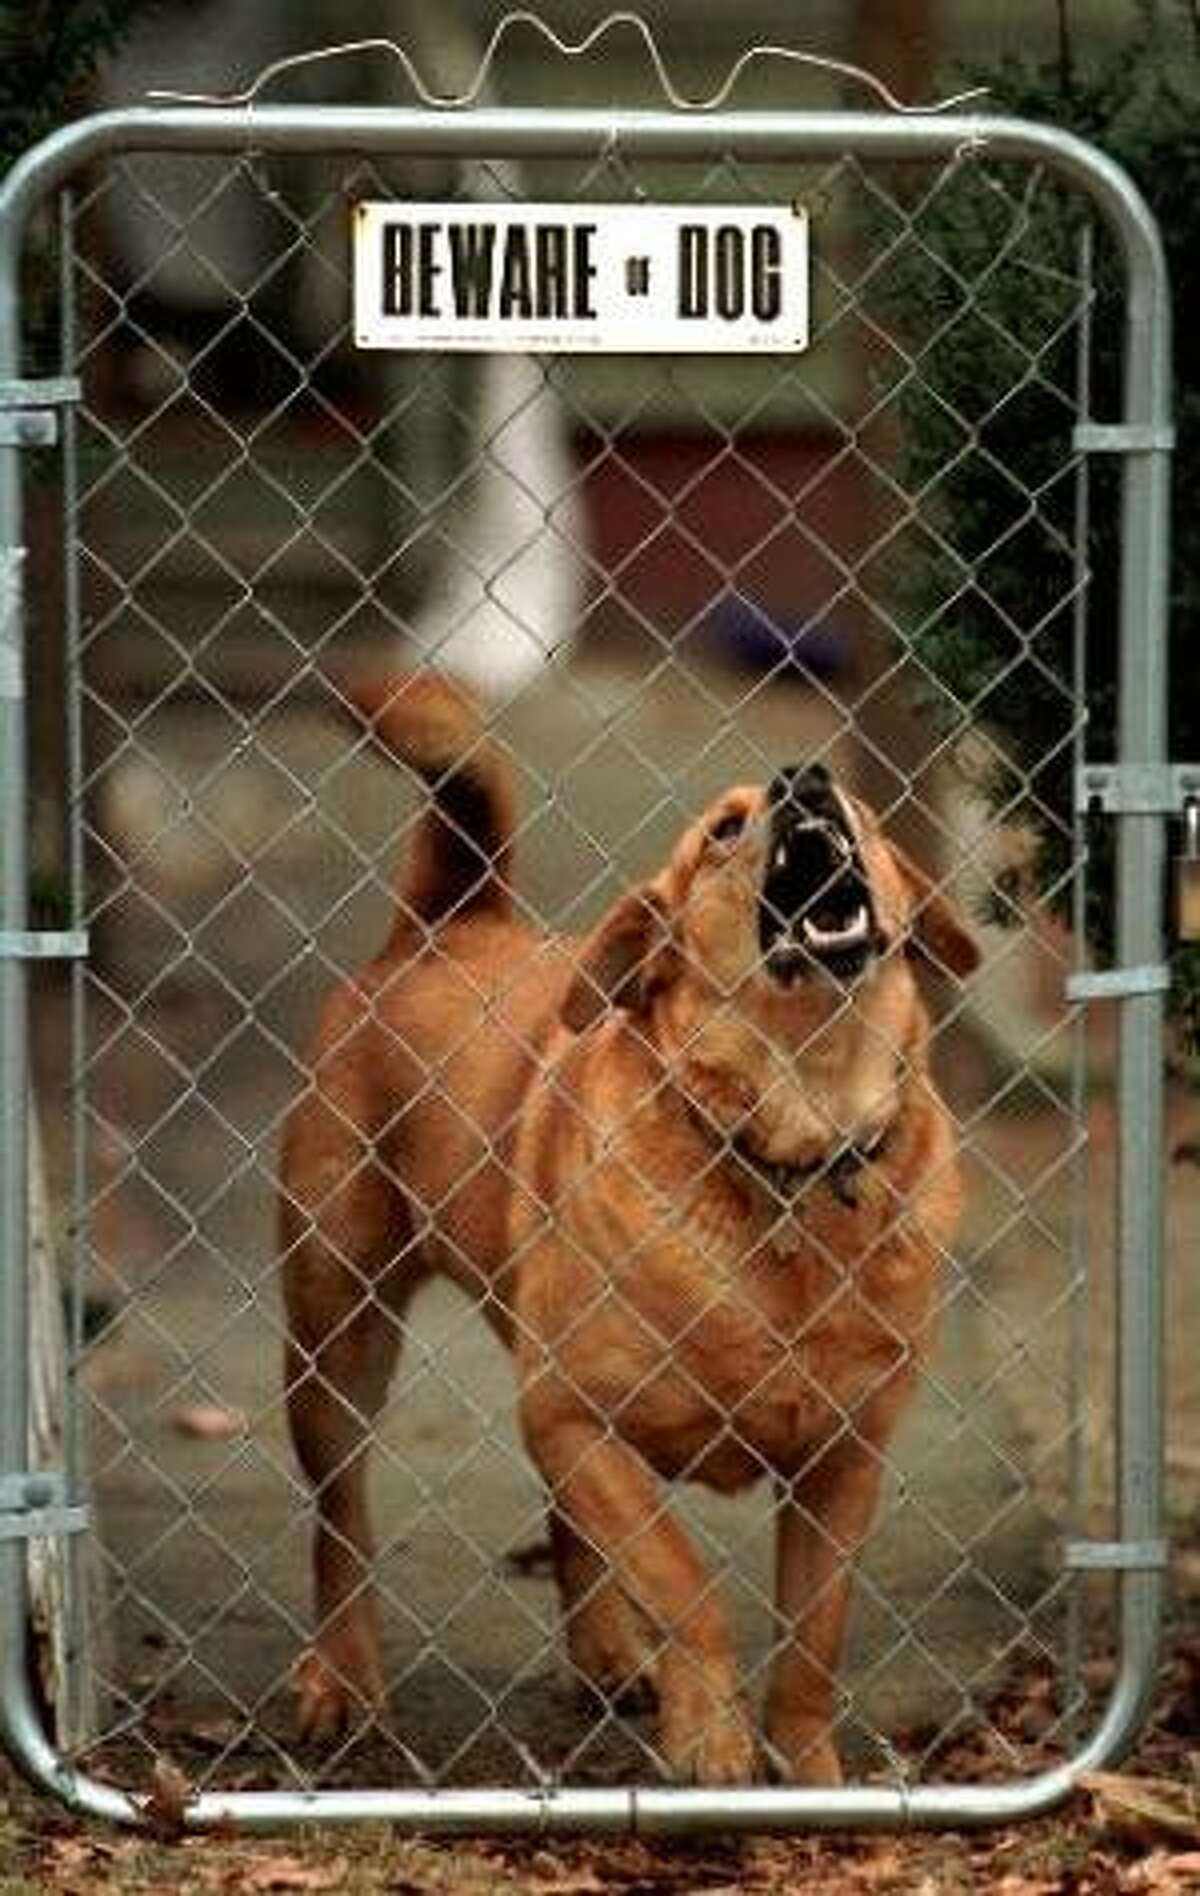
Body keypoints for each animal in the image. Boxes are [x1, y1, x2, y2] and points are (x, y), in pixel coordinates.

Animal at [280, 674, 970, 1782]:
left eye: (862, 813)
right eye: (723, 831)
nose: (804, 779)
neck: (795, 1139)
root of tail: (444, 925)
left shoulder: (844, 1461)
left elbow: (812, 1640)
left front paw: (807, 1768)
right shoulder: (579, 1420)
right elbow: (686, 1583)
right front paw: (713, 1740)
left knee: (563, 1524)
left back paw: (605, 1651)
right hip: (336, 1340)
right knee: (339, 1516)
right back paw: (341, 1679)